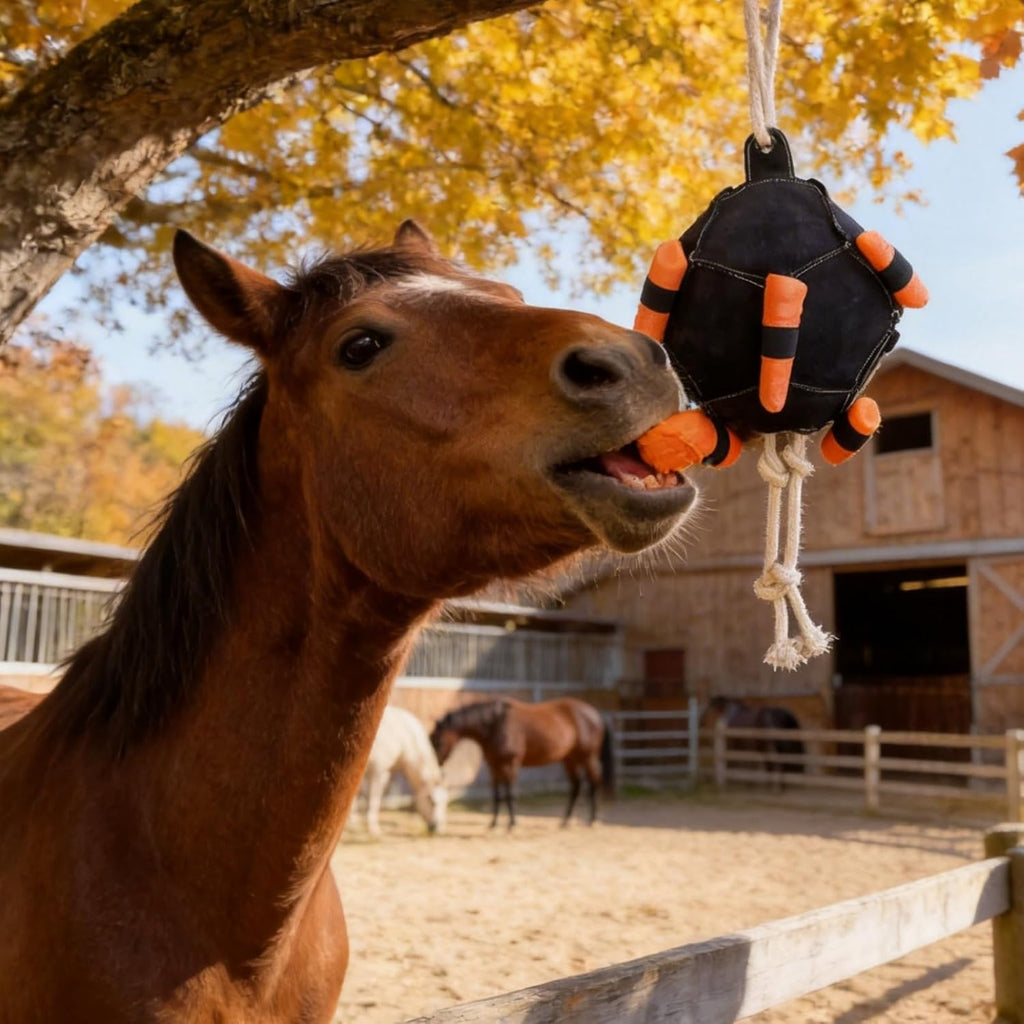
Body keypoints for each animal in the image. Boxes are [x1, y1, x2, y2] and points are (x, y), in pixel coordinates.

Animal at [357, 705, 448, 837]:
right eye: (431, 800)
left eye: (446, 802)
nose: (437, 827)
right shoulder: (378, 770)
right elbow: (373, 799)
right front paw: (373, 828)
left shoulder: (388, 772)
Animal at [430, 697, 614, 828]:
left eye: (438, 741)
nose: (436, 767)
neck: (496, 725)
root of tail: (595, 714)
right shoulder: (494, 766)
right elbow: (497, 795)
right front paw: (493, 823)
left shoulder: (510, 764)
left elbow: (510, 793)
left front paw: (512, 823)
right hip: (570, 759)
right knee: (576, 787)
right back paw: (565, 821)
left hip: (587, 757)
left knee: (594, 783)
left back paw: (593, 820)